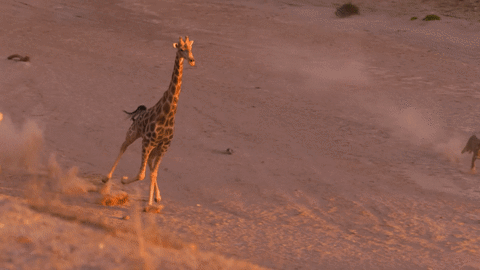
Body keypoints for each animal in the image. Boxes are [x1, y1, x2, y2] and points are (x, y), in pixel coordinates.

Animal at [103, 35, 195, 208]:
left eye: (191, 49)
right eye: (181, 49)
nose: (192, 60)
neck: (168, 114)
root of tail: (141, 112)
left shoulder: (164, 147)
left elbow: (153, 172)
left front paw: (151, 203)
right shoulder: (147, 142)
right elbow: (142, 175)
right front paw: (124, 180)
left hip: (154, 148)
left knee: (151, 166)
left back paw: (157, 197)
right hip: (133, 133)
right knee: (123, 146)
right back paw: (106, 177)